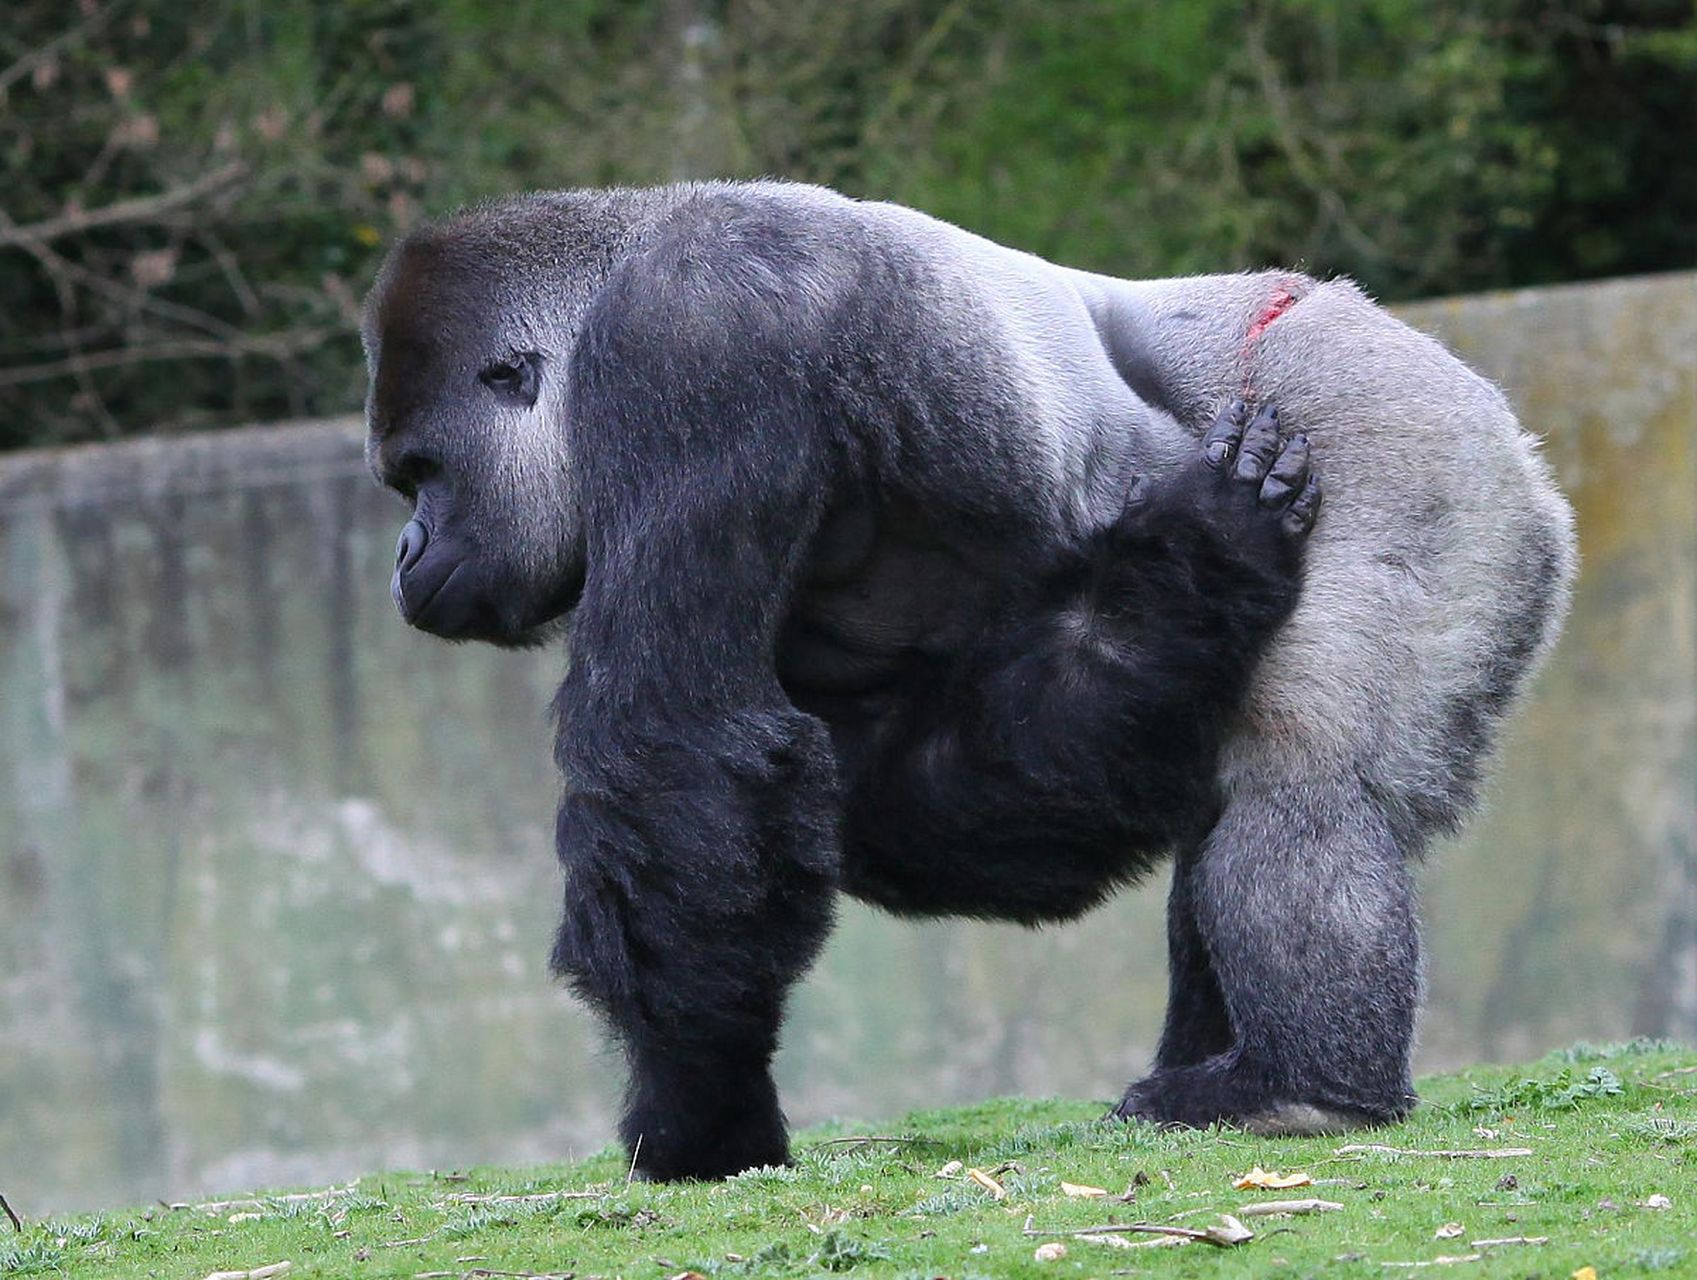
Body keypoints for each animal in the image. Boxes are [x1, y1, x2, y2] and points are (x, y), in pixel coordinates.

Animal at [361, 179, 1574, 1174]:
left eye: (421, 473)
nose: (403, 557)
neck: (605, 286)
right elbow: (925, 788)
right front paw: (1188, 566)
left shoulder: (694, 335)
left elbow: (682, 744)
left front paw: (698, 1111)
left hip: (1405, 434)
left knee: (1302, 785)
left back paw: (1304, 1089)